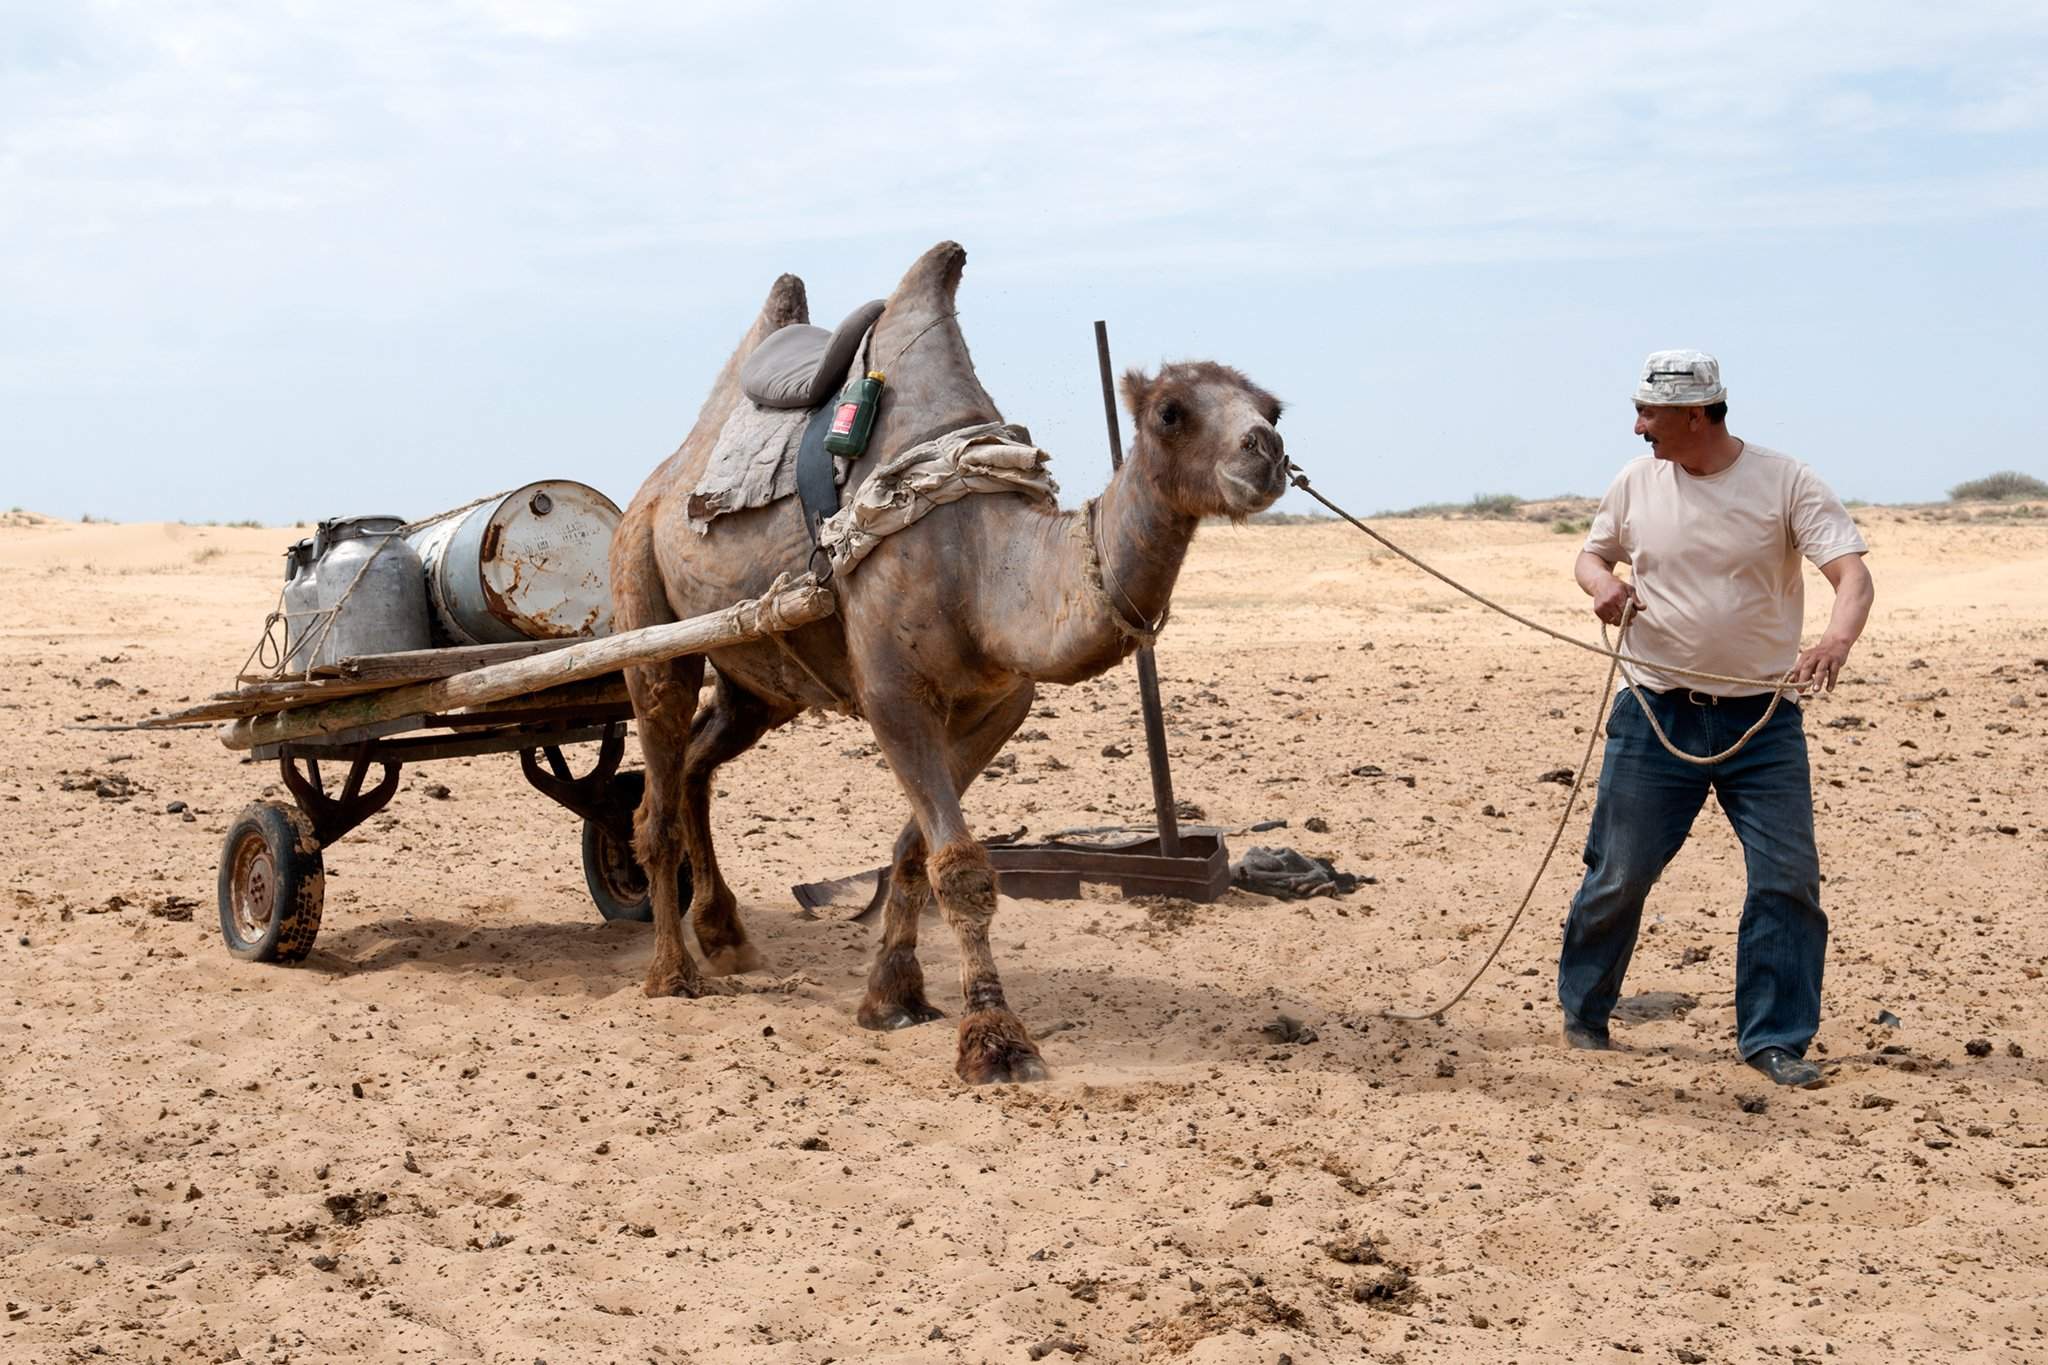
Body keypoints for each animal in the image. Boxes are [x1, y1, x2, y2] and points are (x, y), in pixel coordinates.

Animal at [606, 240, 1286, 1080]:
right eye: (1170, 413)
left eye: (1272, 407)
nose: (1267, 451)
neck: (981, 557)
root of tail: (658, 482)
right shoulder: (894, 693)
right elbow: (958, 863)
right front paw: (994, 1039)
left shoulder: (998, 703)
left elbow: (912, 851)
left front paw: (893, 995)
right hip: (645, 601)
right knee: (656, 790)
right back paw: (672, 973)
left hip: (758, 679)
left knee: (701, 761)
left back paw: (726, 936)